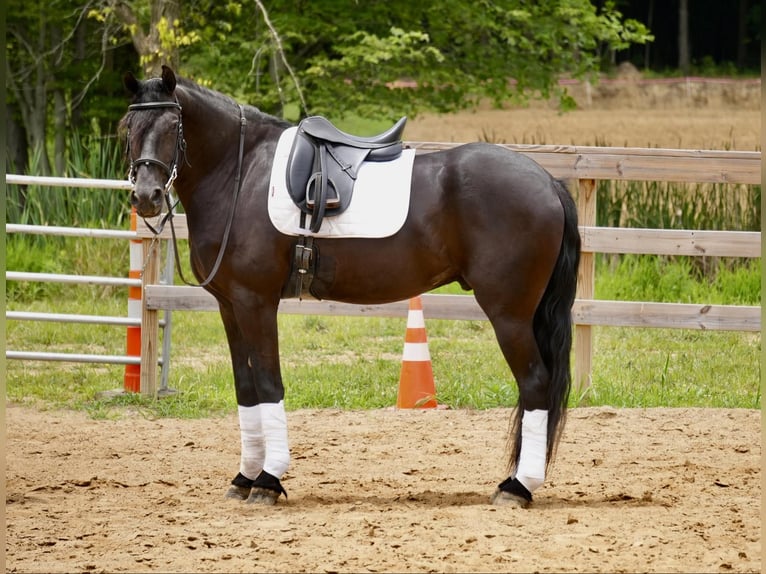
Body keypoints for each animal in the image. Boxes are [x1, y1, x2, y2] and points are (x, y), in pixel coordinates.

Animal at [120, 66, 581, 508]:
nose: (146, 197)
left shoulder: (256, 303)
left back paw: (518, 487)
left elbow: (269, 384)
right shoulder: (230, 306)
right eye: (129, 126)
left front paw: (268, 480)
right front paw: (244, 478)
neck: (241, 174)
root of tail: (547, 182)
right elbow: (246, 389)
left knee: (535, 384)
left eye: (173, 126)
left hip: (509, 314)